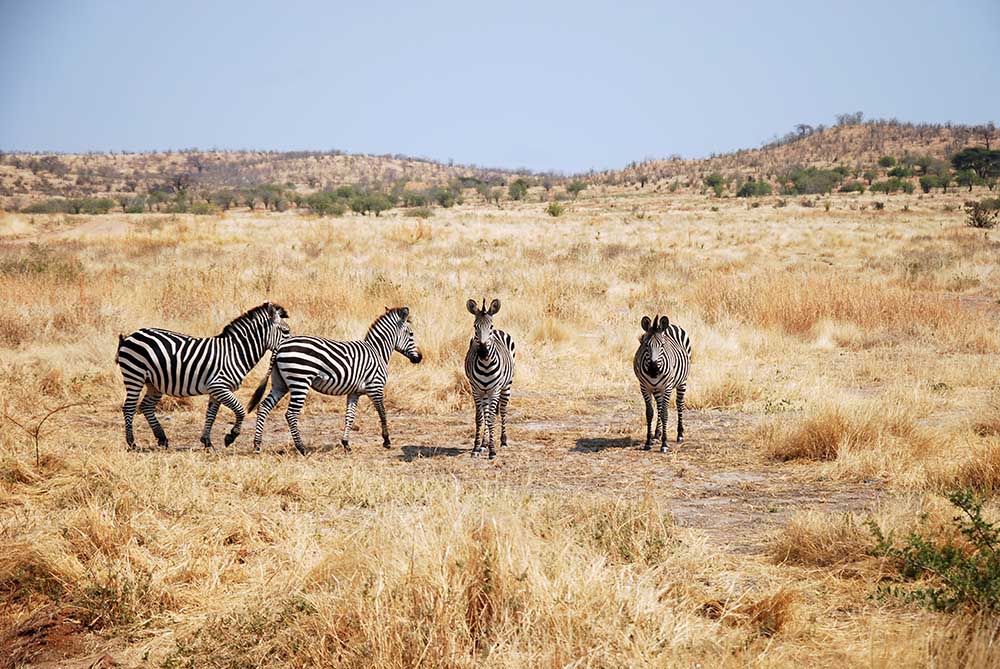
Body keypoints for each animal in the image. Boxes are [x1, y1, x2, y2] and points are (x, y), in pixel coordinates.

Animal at [116, 302, 292, 448]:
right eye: (286, 331)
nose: (291, 348)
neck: (235, 352)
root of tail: (130, 335)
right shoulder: (219, 386)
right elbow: (240, 410)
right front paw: (231, 436)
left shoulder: (216, 390)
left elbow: (211, 415)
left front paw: (207, 442)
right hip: (134, 375)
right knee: (129, 407)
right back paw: (132, 443)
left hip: (153, 383)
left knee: (146, 406)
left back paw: (162, 438)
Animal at [252, 304, 424, 454]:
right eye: (411, 334)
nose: (419, 358)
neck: (377, 351)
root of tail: (280, 346)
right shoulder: (376, 388)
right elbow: (383, 413)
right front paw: (387, 441)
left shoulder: (354, 392)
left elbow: (350, 417)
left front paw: (346, 444)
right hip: (300, 381)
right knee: (291, 414)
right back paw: (302, 448)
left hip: (280, 384)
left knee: (264, 407)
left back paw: (257, 445)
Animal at [464, 298, 516, 460]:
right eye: (475, 327)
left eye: (490, 327)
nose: (482, 352)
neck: (486, 365)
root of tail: (500, 331)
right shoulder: (475, 390)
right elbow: (480, 418)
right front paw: (476, 447)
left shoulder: (495, 391)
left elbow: (491, 418)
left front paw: (492, 451)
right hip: (484, 391)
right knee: (486, 412)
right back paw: (483, 444)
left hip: (506, 386)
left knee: (503, 410)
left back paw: (503, 441)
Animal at [632, 314, 688, 452]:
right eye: (646, 345)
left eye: (662, 345)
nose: (653, 369)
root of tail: (670, 325)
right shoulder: (644, 387)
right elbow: (650, 413)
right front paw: (648, 441)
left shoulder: (667, 387)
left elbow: (664, 414)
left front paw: (664, 444)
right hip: (657, 389)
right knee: (659, 406)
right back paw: (657, 435)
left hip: (682, 382)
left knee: (679, 404)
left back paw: (680, 435)